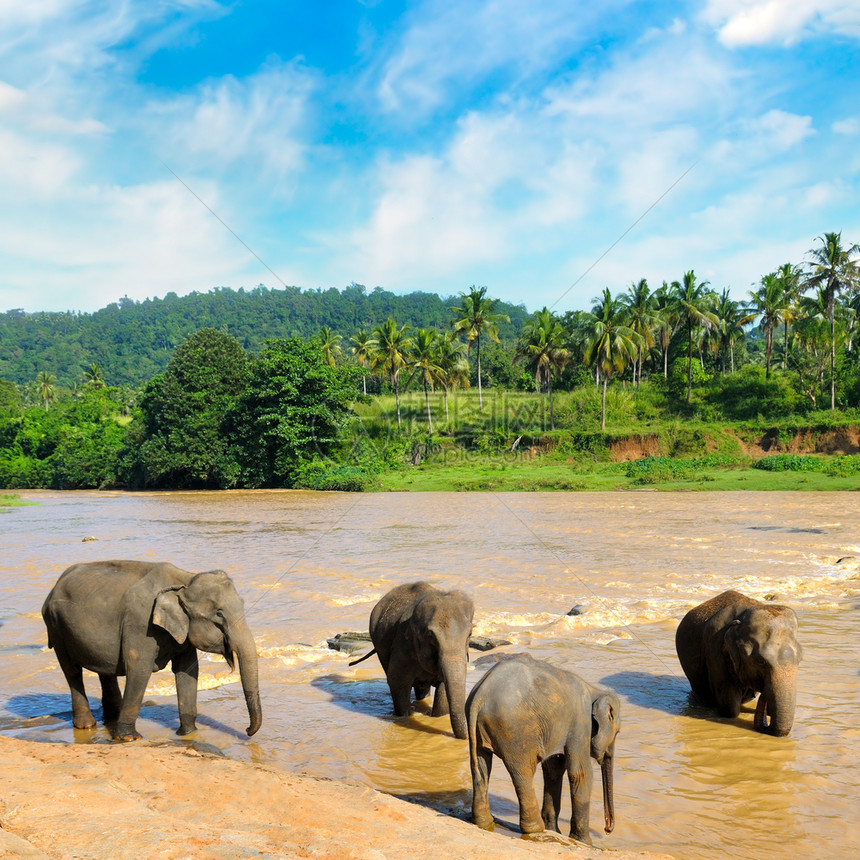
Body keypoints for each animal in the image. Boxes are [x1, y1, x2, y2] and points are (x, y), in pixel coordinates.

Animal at [42, 560, 262, 744]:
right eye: (219, 614)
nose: (247, 730)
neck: (185, 579)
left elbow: (188, 671)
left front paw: (188, 733)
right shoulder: (141, 623)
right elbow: (139, 668)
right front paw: (129, 738)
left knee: (105, 670)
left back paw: (111, 719)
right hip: (56, 627)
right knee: (72, 670)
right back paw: (87, 725)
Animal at [350, 576, 474, 740]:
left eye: (470, 634)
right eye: (431, 636)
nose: (465, 738)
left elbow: (443, 688)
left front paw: (436, 717)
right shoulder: (403, 645)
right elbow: (396, 680)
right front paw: (406, 716)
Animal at [464, 652, 620, 848]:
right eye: (617, 732)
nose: (608, 829)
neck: (594, 690)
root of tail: (481, 694)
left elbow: (553, 769)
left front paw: (556, 831)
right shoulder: (580, 723)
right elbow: (580, 773)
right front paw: (584, 842)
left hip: (479, 728)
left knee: (481, 766)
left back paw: (484, 823)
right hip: (516, 731)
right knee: (523, 772)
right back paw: (535, 829)